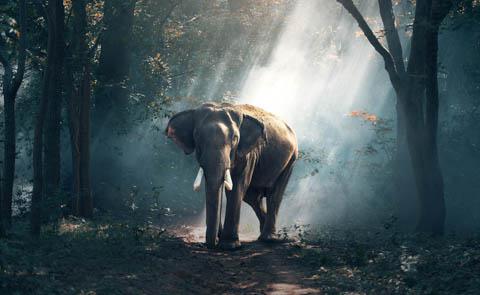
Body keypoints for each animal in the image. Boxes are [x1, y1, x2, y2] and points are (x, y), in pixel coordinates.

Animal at [167, 103, 298, 251]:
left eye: (235, 138)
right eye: (197, 136)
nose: (210, 245)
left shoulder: (248, 153)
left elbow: (237, 187)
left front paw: (229, 245)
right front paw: (221, 239)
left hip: (291, 159)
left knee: (274, 194)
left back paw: (270, 239)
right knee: (253, 197)